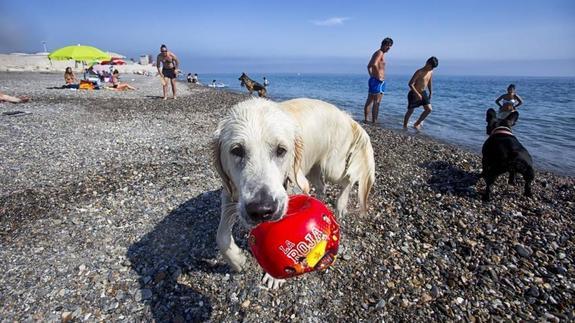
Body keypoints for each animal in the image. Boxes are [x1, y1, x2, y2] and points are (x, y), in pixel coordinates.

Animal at [214, 97, 376, 288]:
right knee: (322, 186)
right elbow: (221, 236)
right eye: (237, 150)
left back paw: (341, 204)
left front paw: (274, 278)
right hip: (313, 168)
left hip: (332, 167)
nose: (262, 210)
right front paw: (237, 260)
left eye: (281, 150)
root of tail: (346, 116)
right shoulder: (230, 192)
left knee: (347, 180)